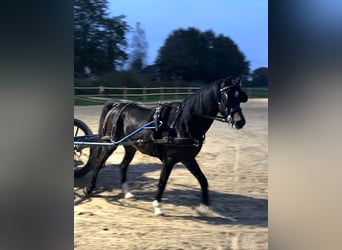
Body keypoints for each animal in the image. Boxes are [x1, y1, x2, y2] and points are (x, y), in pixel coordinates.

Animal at [73, 76, 247, 215]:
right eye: (227, 96)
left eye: (239, 97)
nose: (240, 122)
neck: (182, 123)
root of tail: (117, 105)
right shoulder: (169, 160)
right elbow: (162, 181)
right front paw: (157, 206)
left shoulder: (188, 159)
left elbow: (203, 180)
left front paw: (204, 207)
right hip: (111, 143)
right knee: (99, 163)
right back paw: (89, 188)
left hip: (130, 146)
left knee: (122, 165)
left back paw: (127, 193)